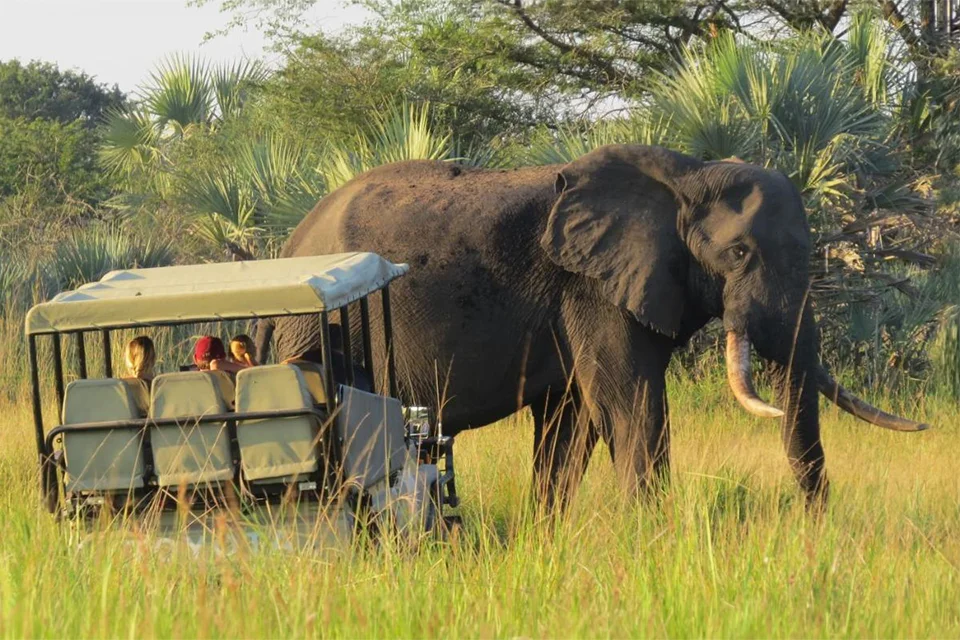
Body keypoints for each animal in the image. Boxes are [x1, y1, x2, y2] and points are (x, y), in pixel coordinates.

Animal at [256, 144, 928, 508]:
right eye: (739, 255)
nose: (815, 533)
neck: (687, 174)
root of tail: (288, 244)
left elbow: (570, 427)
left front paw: (547, 540)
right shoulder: (595, 290)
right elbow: (633, 408)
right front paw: (652, 540)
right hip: (316, 330)